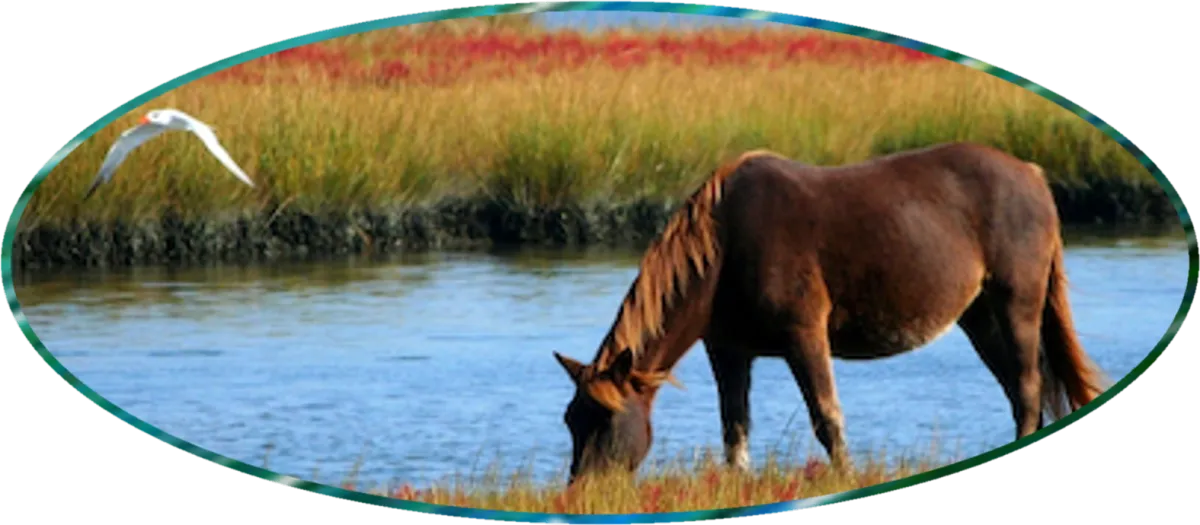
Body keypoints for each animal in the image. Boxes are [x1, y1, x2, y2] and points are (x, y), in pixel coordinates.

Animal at [551, 142, 1112, 485]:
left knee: (1027, 388)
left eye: (605, 420)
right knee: (1018, 389)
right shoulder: (728, 351)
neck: (727, 245)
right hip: (979, 316)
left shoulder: (805, 337)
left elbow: (827, 417)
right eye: (571, 419)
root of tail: (1031, 175)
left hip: (1017, 303)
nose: (583, 490)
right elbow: (735, 426)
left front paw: (844, 478)